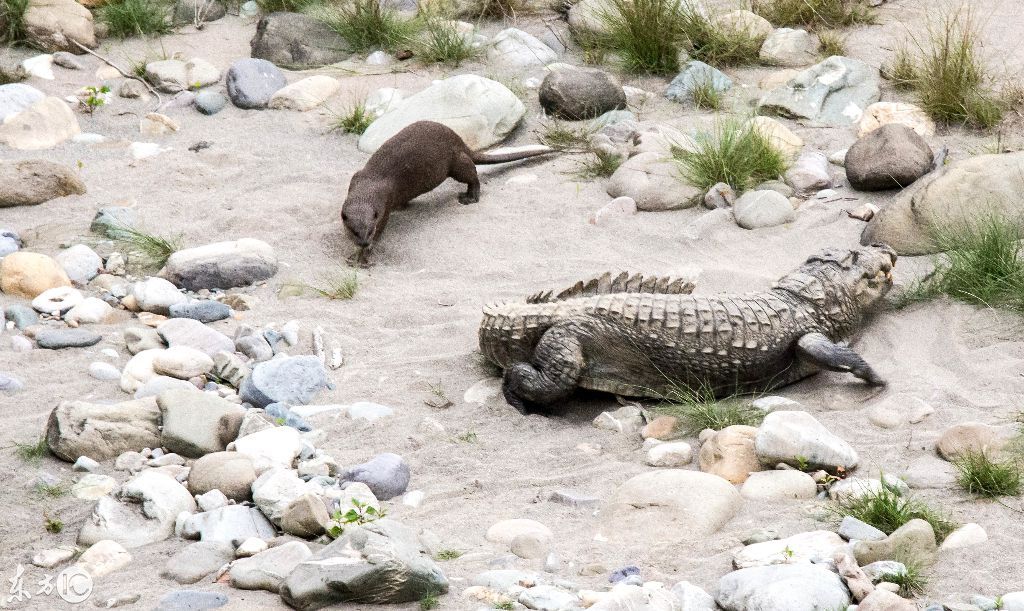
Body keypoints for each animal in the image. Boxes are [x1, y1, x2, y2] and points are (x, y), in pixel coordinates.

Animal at [342, 120, 552, 264]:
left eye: (370, 230)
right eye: (353, 231)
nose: (363, 243)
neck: (370, 183)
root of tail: (460, 140)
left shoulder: (385, 204)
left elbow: (381, 230)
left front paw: (362, 256)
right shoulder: (356, 178)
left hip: (456, 162)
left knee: (473, 174)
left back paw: (470, 197)